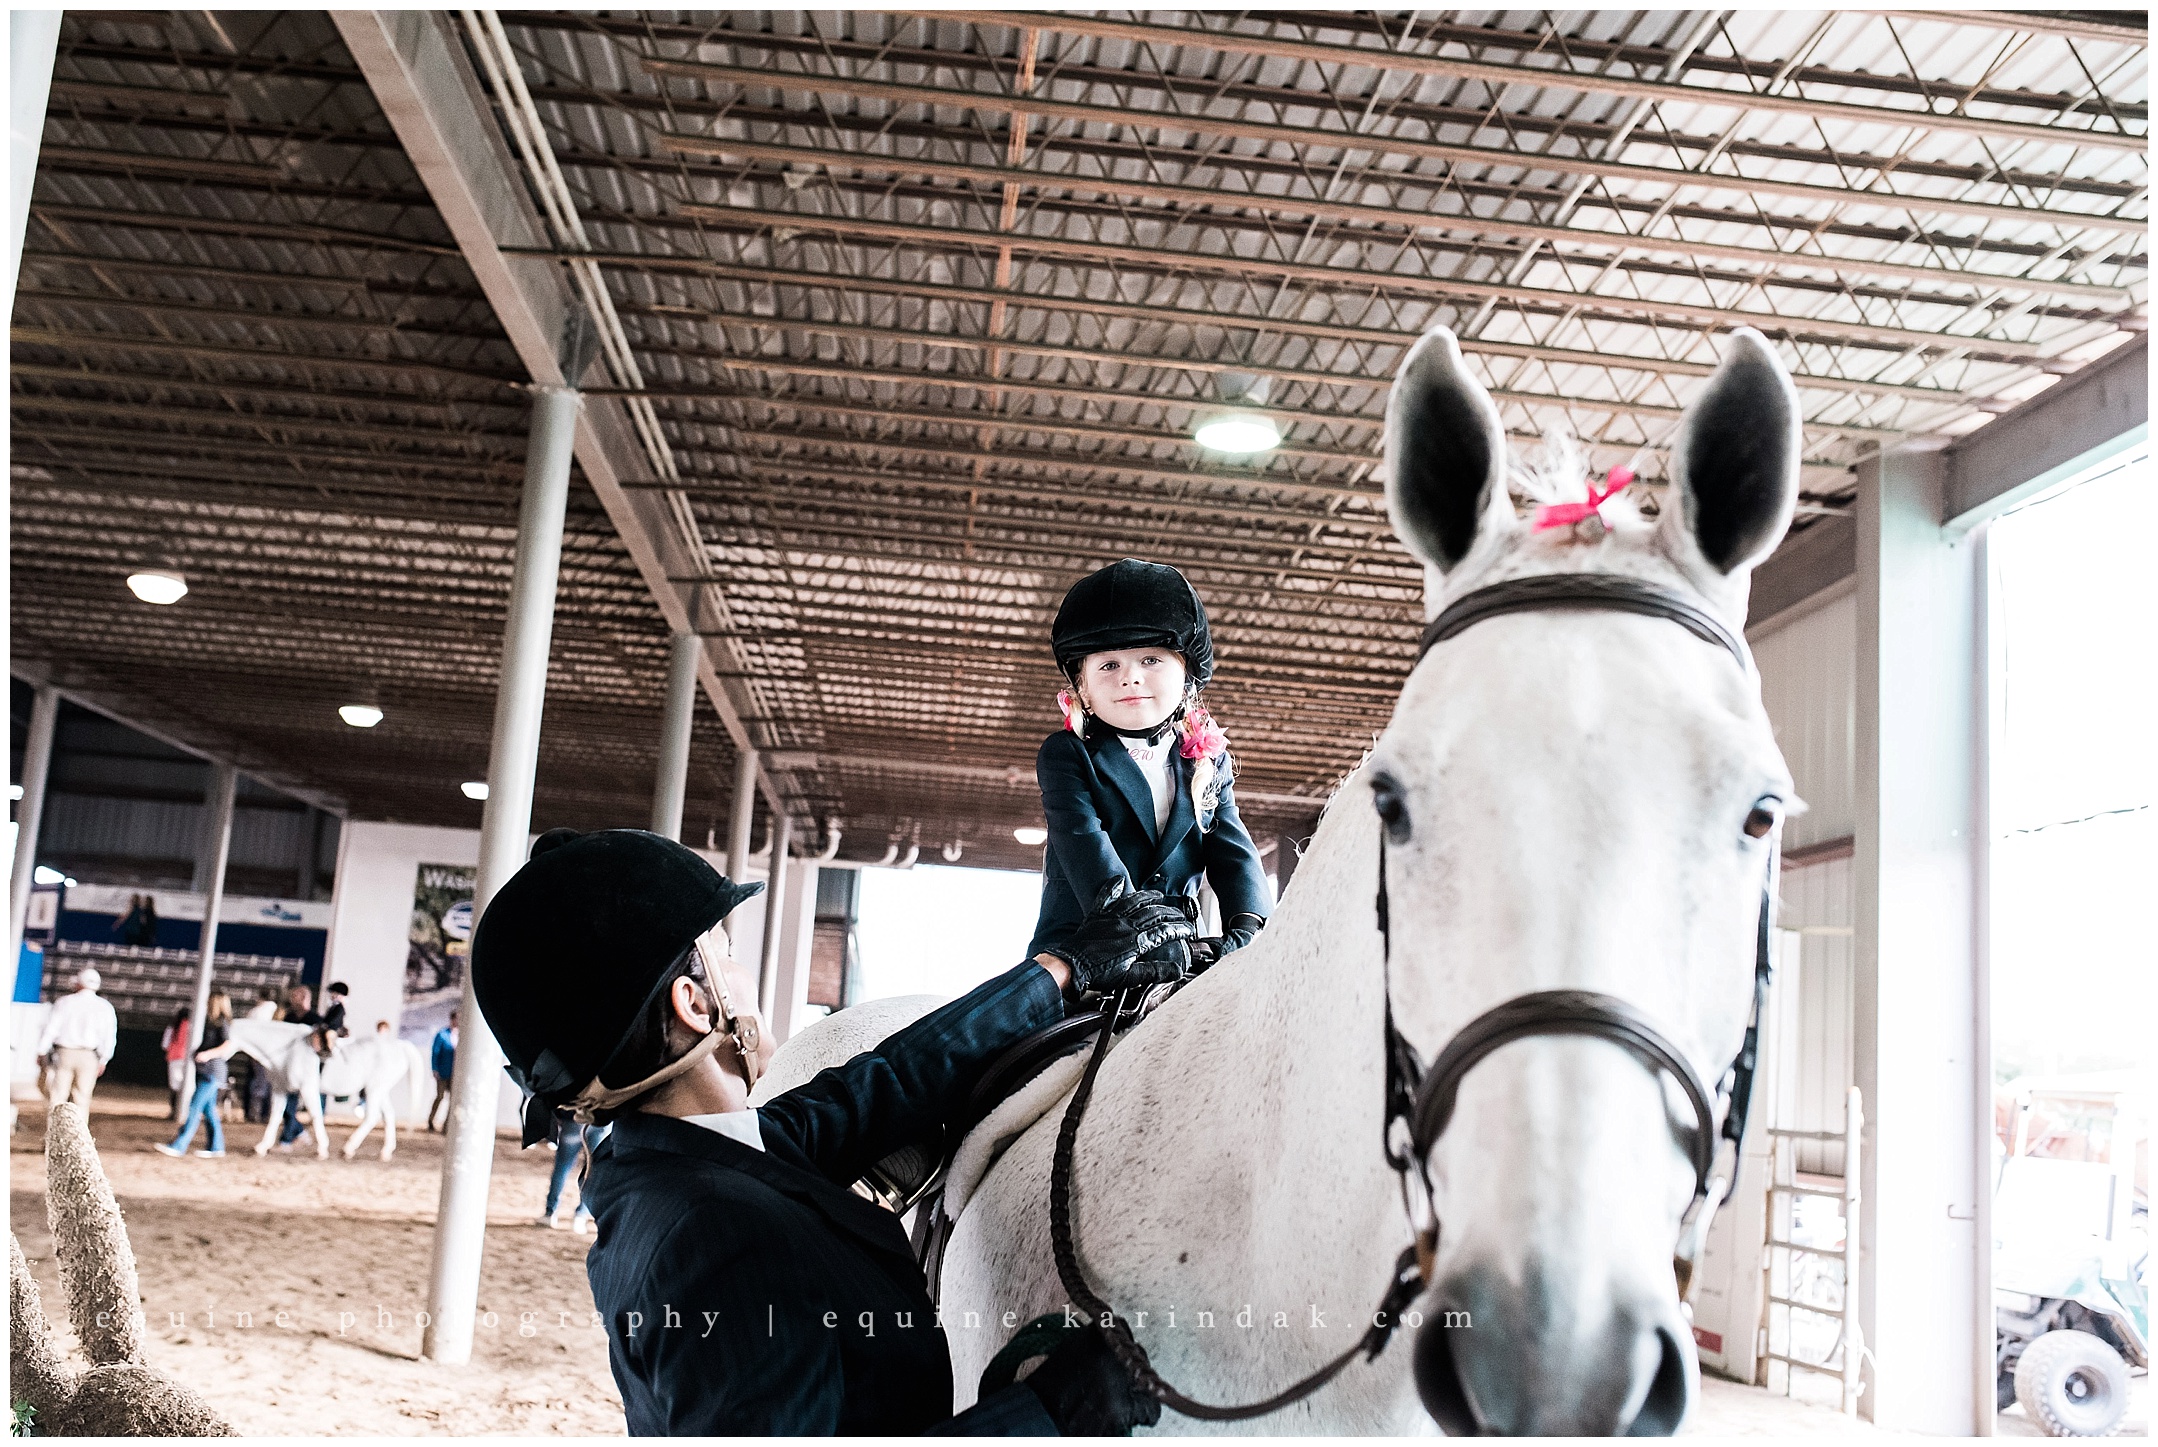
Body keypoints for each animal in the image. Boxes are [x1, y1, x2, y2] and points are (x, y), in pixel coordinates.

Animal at [225, 1017, 431, 1164]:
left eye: (221, 1035)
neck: (287, 1048)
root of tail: (400, 1045)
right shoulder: (280, 1088)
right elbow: (276, 1116)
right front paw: (261, 1147)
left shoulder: (307, 1087)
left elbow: (315, 1114)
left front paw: (322, 1150)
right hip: (380, 1090)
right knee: (388, 1115)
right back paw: (385, 1152)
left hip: (374, 1089)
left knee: (372, 1116)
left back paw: (348, 1149)